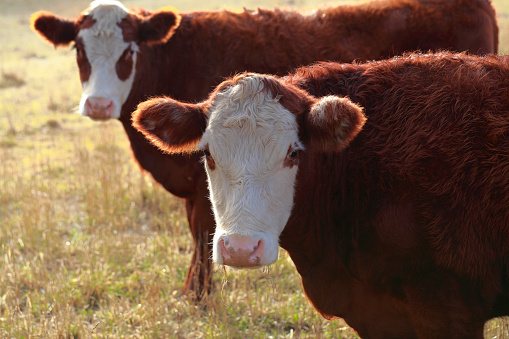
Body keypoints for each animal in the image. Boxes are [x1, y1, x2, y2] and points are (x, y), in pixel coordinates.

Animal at [30, 0, 496, 300]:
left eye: (129, 51)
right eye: (79, 49)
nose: (98, 104)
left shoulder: (200, 191)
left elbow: (202, 233)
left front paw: (198, 295)